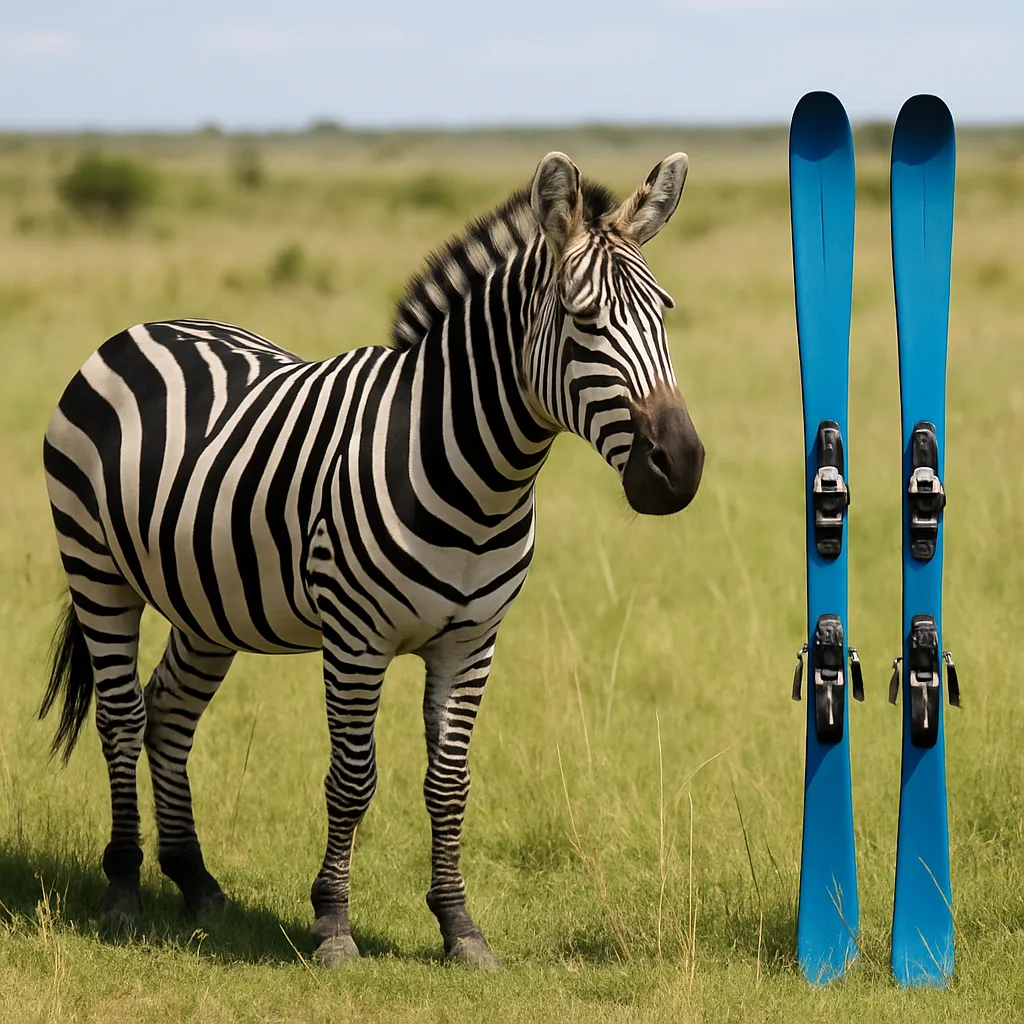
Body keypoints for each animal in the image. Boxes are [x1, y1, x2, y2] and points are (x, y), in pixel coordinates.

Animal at [40, 150, 705, 967]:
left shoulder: (470, 643)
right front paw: (332, 925)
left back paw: (194, 880)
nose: (682, 466)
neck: (477, 478)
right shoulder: (357, 640)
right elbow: (352, 779)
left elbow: (449, 783)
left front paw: (460, 929)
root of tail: (147, 326)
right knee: (122, 715)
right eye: (585, 321)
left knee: (169, 711)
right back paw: (125, 887)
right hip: (96, 569)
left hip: (207, 603)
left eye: (664, 315)